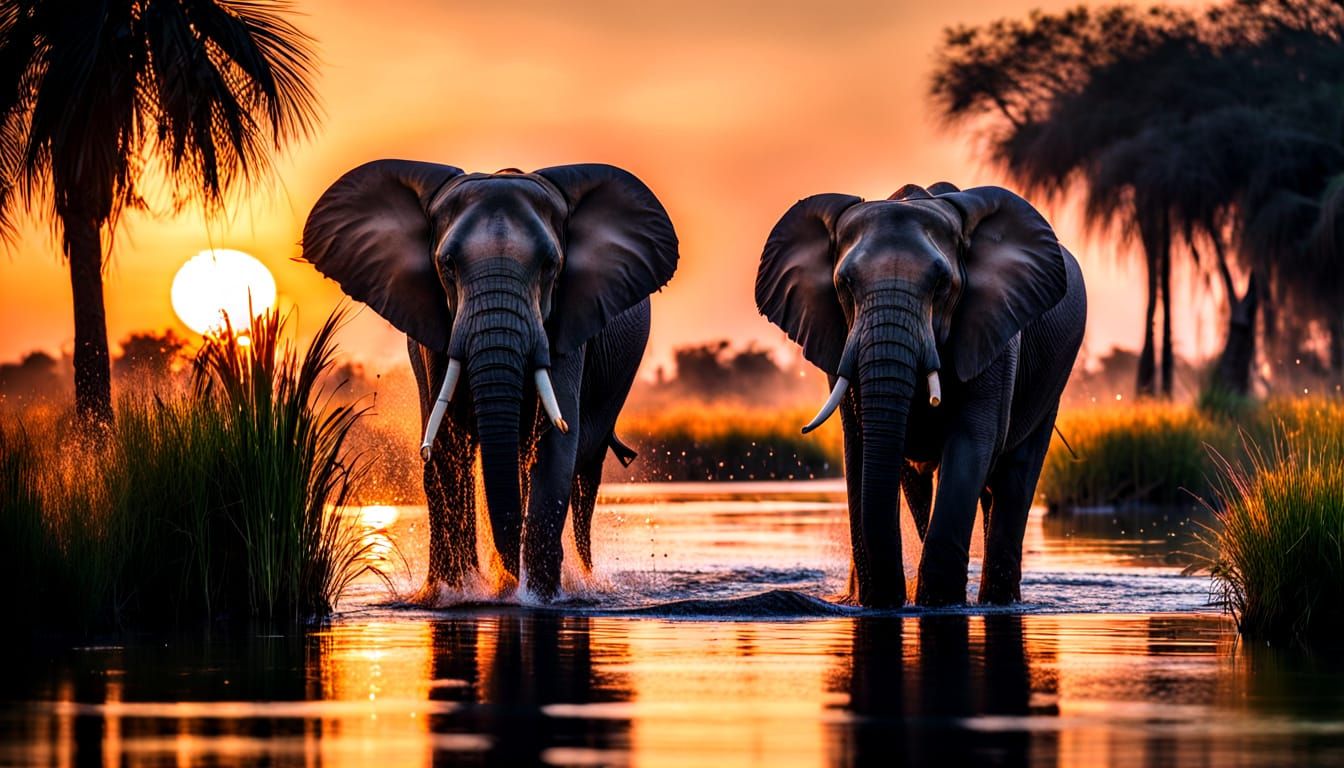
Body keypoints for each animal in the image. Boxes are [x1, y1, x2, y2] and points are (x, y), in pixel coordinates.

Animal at [301, 161, 678, 600]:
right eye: (447, 265)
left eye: (551, 266)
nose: (509, 580)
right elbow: (447, 443)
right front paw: (456, 593)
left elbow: (555, 443)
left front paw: (536, 598)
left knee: (584, 467)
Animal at [756, 182, 1086, 607]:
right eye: (844, 285)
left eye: (942, 285)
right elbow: (860, 443)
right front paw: (882, 601)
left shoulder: (994, 330)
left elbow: (971, 439)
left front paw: (939, 603)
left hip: (1053, 379)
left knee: (1014, 477)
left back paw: (998, 601)